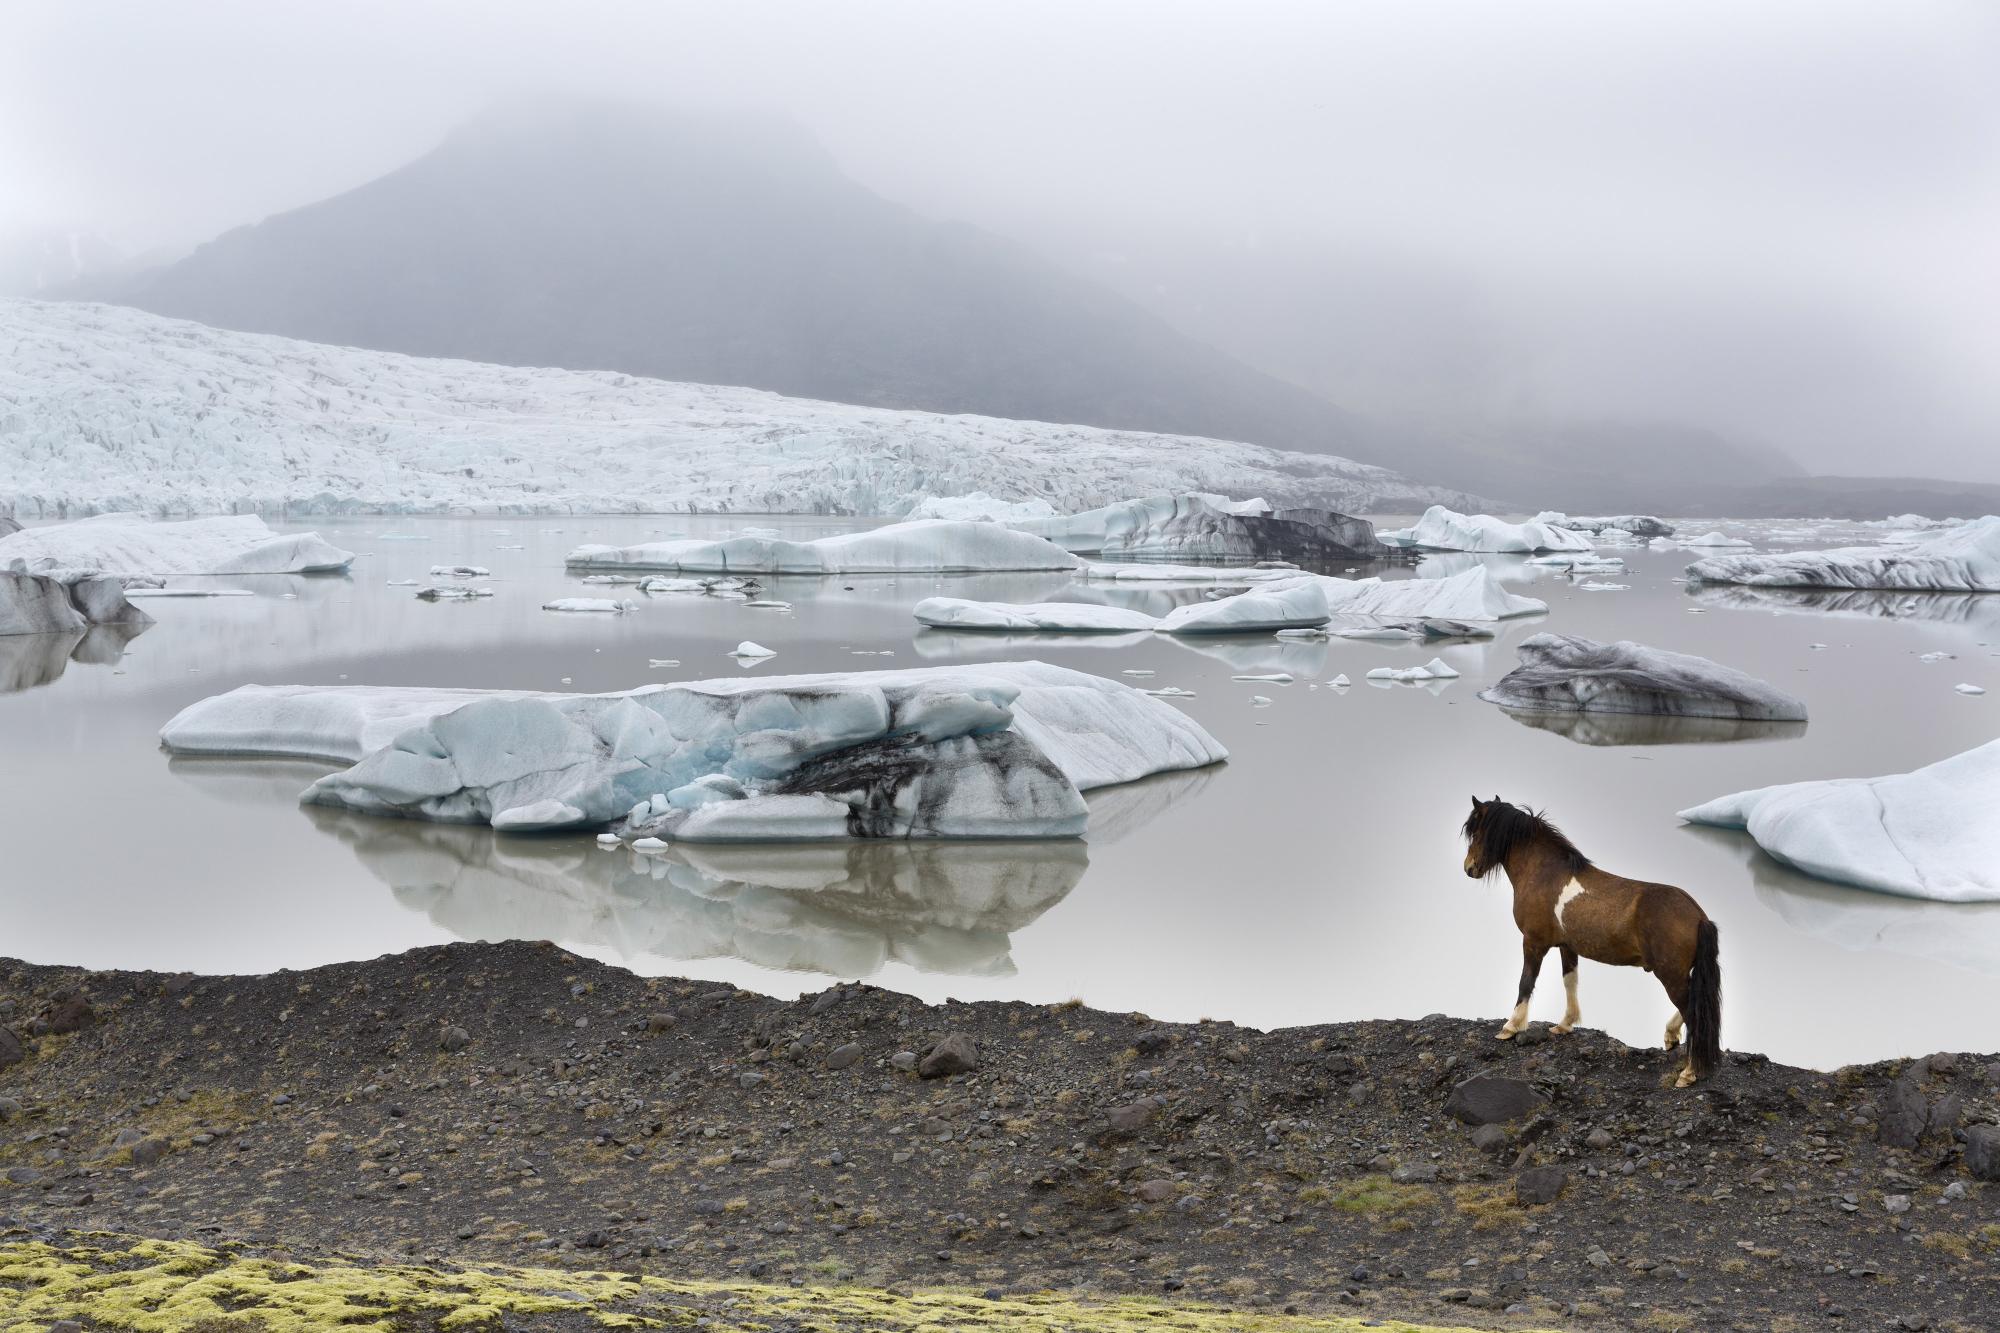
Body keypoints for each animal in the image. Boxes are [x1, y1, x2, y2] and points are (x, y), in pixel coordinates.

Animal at [1460, 796, 1722, 1087]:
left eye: (1477, 832)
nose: (1469, 867)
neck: (1545, 874)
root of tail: (1699, 916)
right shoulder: (1567, 947)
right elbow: (1570, 981)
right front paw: (1565, 1024)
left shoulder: (1533, 942)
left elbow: (1525, 982)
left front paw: (1510, 1027)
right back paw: (1670, 1036)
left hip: (1670, 973)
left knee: (1693, 1012)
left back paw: (1688, 1072)